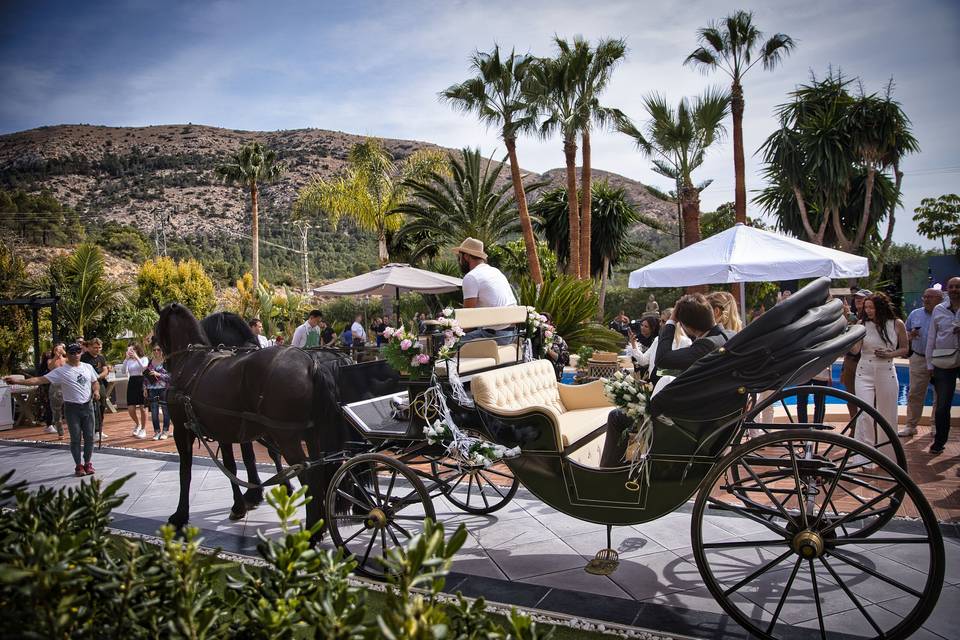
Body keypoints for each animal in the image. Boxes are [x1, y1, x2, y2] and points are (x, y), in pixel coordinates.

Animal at [156, 302, 350, 532]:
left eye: (157, 328)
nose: (162, 362)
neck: (191, 361)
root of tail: (312, 364)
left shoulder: (181, 428)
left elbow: (186, 471)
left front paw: (180, 515)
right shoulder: (226, 428)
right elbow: (233, 465)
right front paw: (244, 502)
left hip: (287, 435)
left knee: (306, 473)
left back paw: (313, 530)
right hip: (312, 433)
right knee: (319, 469)